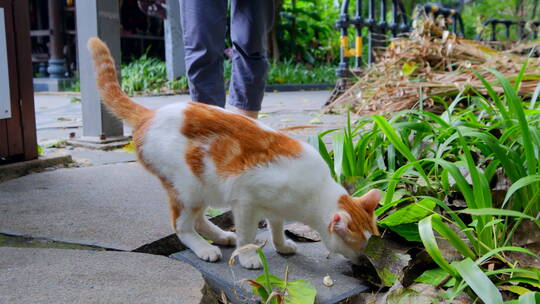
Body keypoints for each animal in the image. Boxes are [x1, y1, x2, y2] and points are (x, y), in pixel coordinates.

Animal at [87, 37, 380, 268]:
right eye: (358, 246)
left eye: (366, 245)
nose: (363, 260)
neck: (313, 192)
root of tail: (151, 113)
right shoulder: (246, 203)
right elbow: (248, 234)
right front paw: (248, 257)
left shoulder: (275, 208)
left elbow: (276, 228)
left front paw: (282, 246)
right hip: (188, 188)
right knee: (181, 225)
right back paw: (205, 247)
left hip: (203, 188)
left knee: (199, 219)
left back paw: (220, 237)